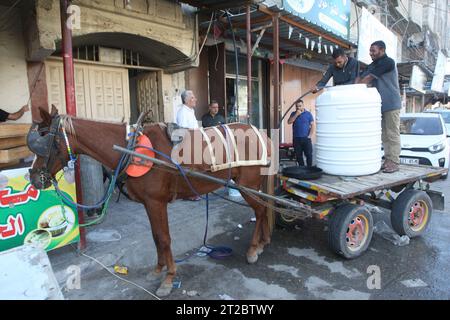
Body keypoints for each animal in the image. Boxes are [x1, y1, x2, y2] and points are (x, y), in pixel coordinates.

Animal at [28, 105, 274, 298]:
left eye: (43, 138)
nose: (34, 177)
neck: (132, 149)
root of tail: (262, 135)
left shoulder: (157, 202)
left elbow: (164, 239)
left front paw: (168, 279)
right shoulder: (149, 203)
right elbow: (156, 237)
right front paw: (158, 270)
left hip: (247, 185)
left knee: (261, 211)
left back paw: (254, 248)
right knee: (264, 209)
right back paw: (264, 242)